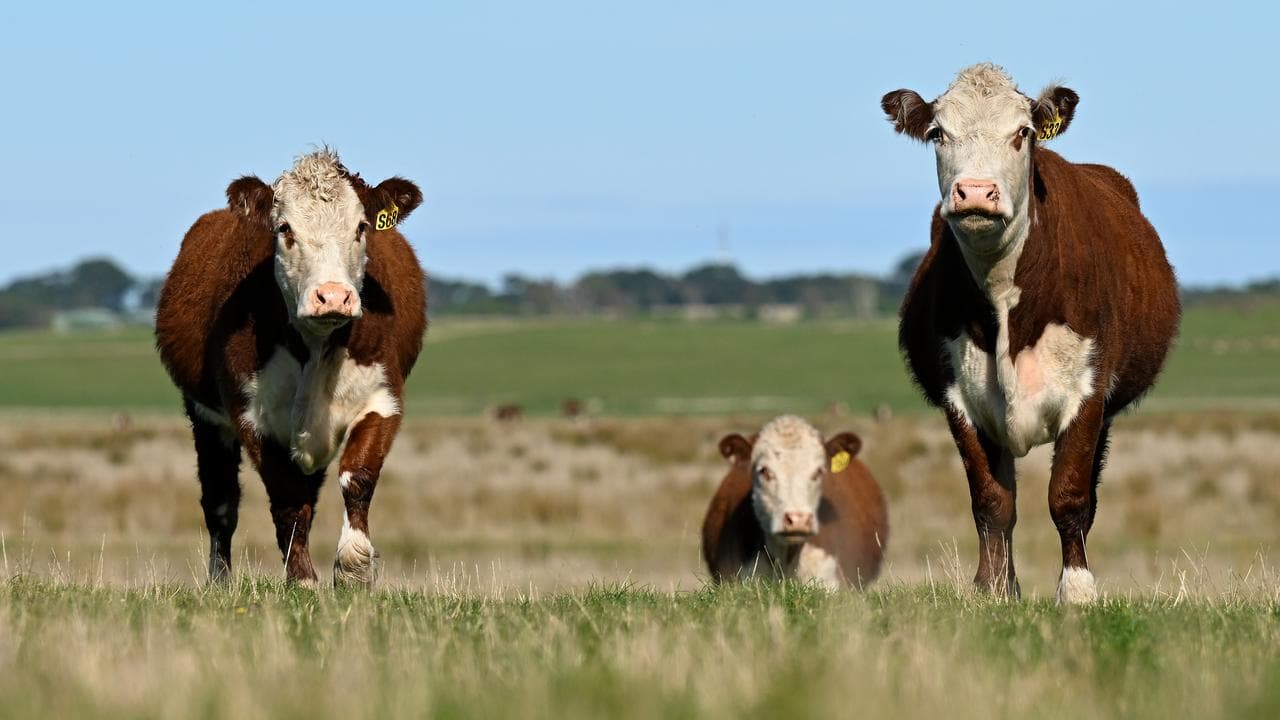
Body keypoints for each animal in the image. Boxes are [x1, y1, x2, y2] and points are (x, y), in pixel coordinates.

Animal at [155, 148, 426, 588]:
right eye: (285, 228)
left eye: (361, 227)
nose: (332, 296)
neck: (315, 345)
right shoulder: (251, 415)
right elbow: (285, 500)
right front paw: (302, 579)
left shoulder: (383, 398)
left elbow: (357, 477)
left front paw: (353, 568)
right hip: (204, 416)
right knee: (220, 502)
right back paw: (220, 580)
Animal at [880, 64, 1179, 603]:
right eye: (937, 133)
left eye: (1022, 133)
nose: (976, 191)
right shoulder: (961, 397)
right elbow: (992, 501)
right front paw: (995, 588)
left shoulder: (1088, 393)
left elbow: (1069, 496)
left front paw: (1077, 590)